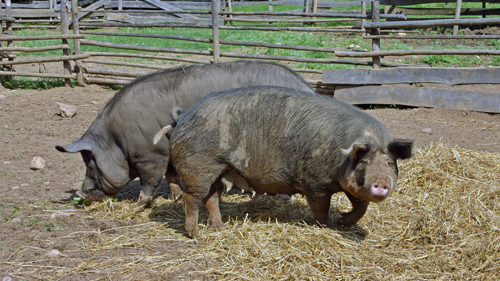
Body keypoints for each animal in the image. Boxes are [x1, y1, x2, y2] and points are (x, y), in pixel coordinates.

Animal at [53, 61, 312, 205]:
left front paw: (139, 204)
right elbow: (171, 176)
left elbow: (149, 182)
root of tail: (305, 87)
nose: (80, 193)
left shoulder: (150, 156)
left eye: (90, 165)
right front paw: (175, 198)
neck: (117, 141)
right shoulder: (166, 154)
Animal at [169, 85, 414, 236]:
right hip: (199, 165)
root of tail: (183, 118)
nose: (380, 182)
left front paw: (342, 222)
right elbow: (321, 208)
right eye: (364, 162)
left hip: (219, 169)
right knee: (192, 197)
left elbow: (360, 207)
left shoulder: (350, 186)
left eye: (390, 164)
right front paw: (326, 226)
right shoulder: (315, 183)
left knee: (211, 197)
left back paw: (220, 228)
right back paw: (195, 235)